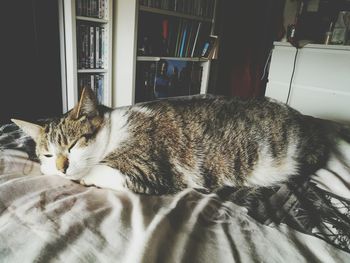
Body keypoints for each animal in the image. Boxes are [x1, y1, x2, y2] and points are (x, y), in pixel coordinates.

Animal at [12, 87, 348, 195]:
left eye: (73, 144)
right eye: (46, 154)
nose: (62, 166)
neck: (113, 133)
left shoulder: (147, 170)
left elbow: (99, 172)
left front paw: (82, 177)